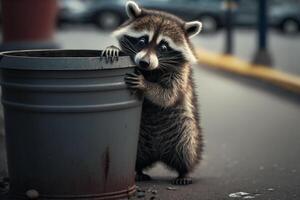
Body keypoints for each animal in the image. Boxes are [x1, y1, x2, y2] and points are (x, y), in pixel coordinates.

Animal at [103, 0, 204, 185]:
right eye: (142, 40)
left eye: (163, 47)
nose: (144, 62)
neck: (152, 70)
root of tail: (158, 154)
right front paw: (112, 48)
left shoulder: (180, 73)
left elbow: (168, 95)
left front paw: (146, 85)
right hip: (139, 141)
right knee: (137, 156)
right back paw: (139, 170)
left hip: (185, 128)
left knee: (186, 149)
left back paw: (184, 172)